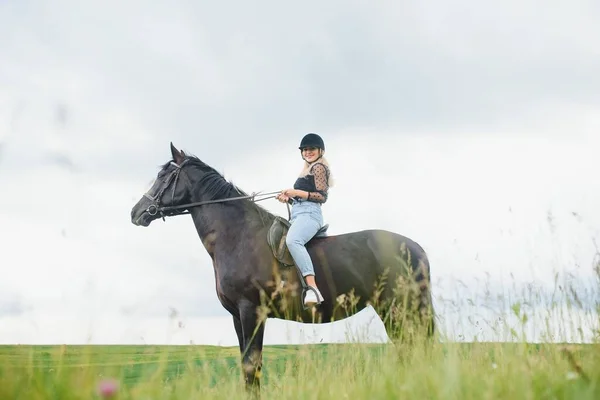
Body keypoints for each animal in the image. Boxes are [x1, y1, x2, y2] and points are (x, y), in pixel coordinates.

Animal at [130, 143, 436, 394]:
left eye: (164, 176)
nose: (136, 212)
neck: (238, 236)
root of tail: (416, 248)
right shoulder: (237, 316)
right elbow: (247, 366)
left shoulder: (251, 311)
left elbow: (252, 366)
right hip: (392, 310)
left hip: (401, 308)